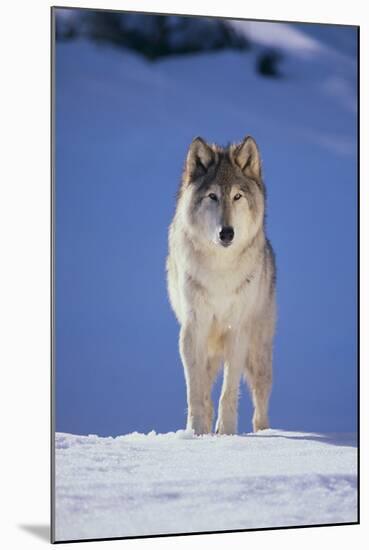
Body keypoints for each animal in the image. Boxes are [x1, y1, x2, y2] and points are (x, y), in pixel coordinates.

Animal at [165, 137, 274, 436]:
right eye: (212, 196)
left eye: (237, 196)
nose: (227, 233)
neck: (220, 271)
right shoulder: (193, 330)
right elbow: (196, 392)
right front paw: (196, 432)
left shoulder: (237, 331)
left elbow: (229, 391)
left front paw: (226, 432)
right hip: (209, 349)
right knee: (205, 390)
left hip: (258, 352)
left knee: (261, 398)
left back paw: (264, 432)